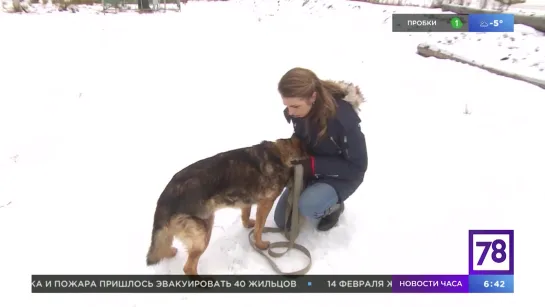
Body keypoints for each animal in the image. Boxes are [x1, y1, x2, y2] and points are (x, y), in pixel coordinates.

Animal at [144, 135, 306, 276]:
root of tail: (167, 194)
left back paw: (170, 252)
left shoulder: (246, 200)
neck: (281, 155)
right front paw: (260, 244)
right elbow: (259, 229)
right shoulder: (266, 203)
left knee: (165, 246)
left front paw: (248, 224)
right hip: (203, 234)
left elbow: (246, 215)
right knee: (188, 267)